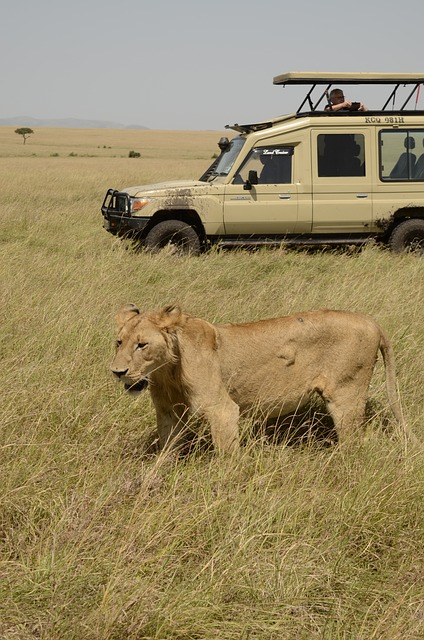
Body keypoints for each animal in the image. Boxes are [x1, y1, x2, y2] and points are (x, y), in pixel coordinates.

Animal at [111, 304, 406, 450]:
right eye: (119, 342)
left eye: (142, 345)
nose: (117, 372)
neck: (166, 371)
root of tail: (372, 322)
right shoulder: (168, 414)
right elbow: (166, 452)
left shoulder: (222, 410)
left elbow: (227, 457)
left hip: (346, 396)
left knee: (355, 441)